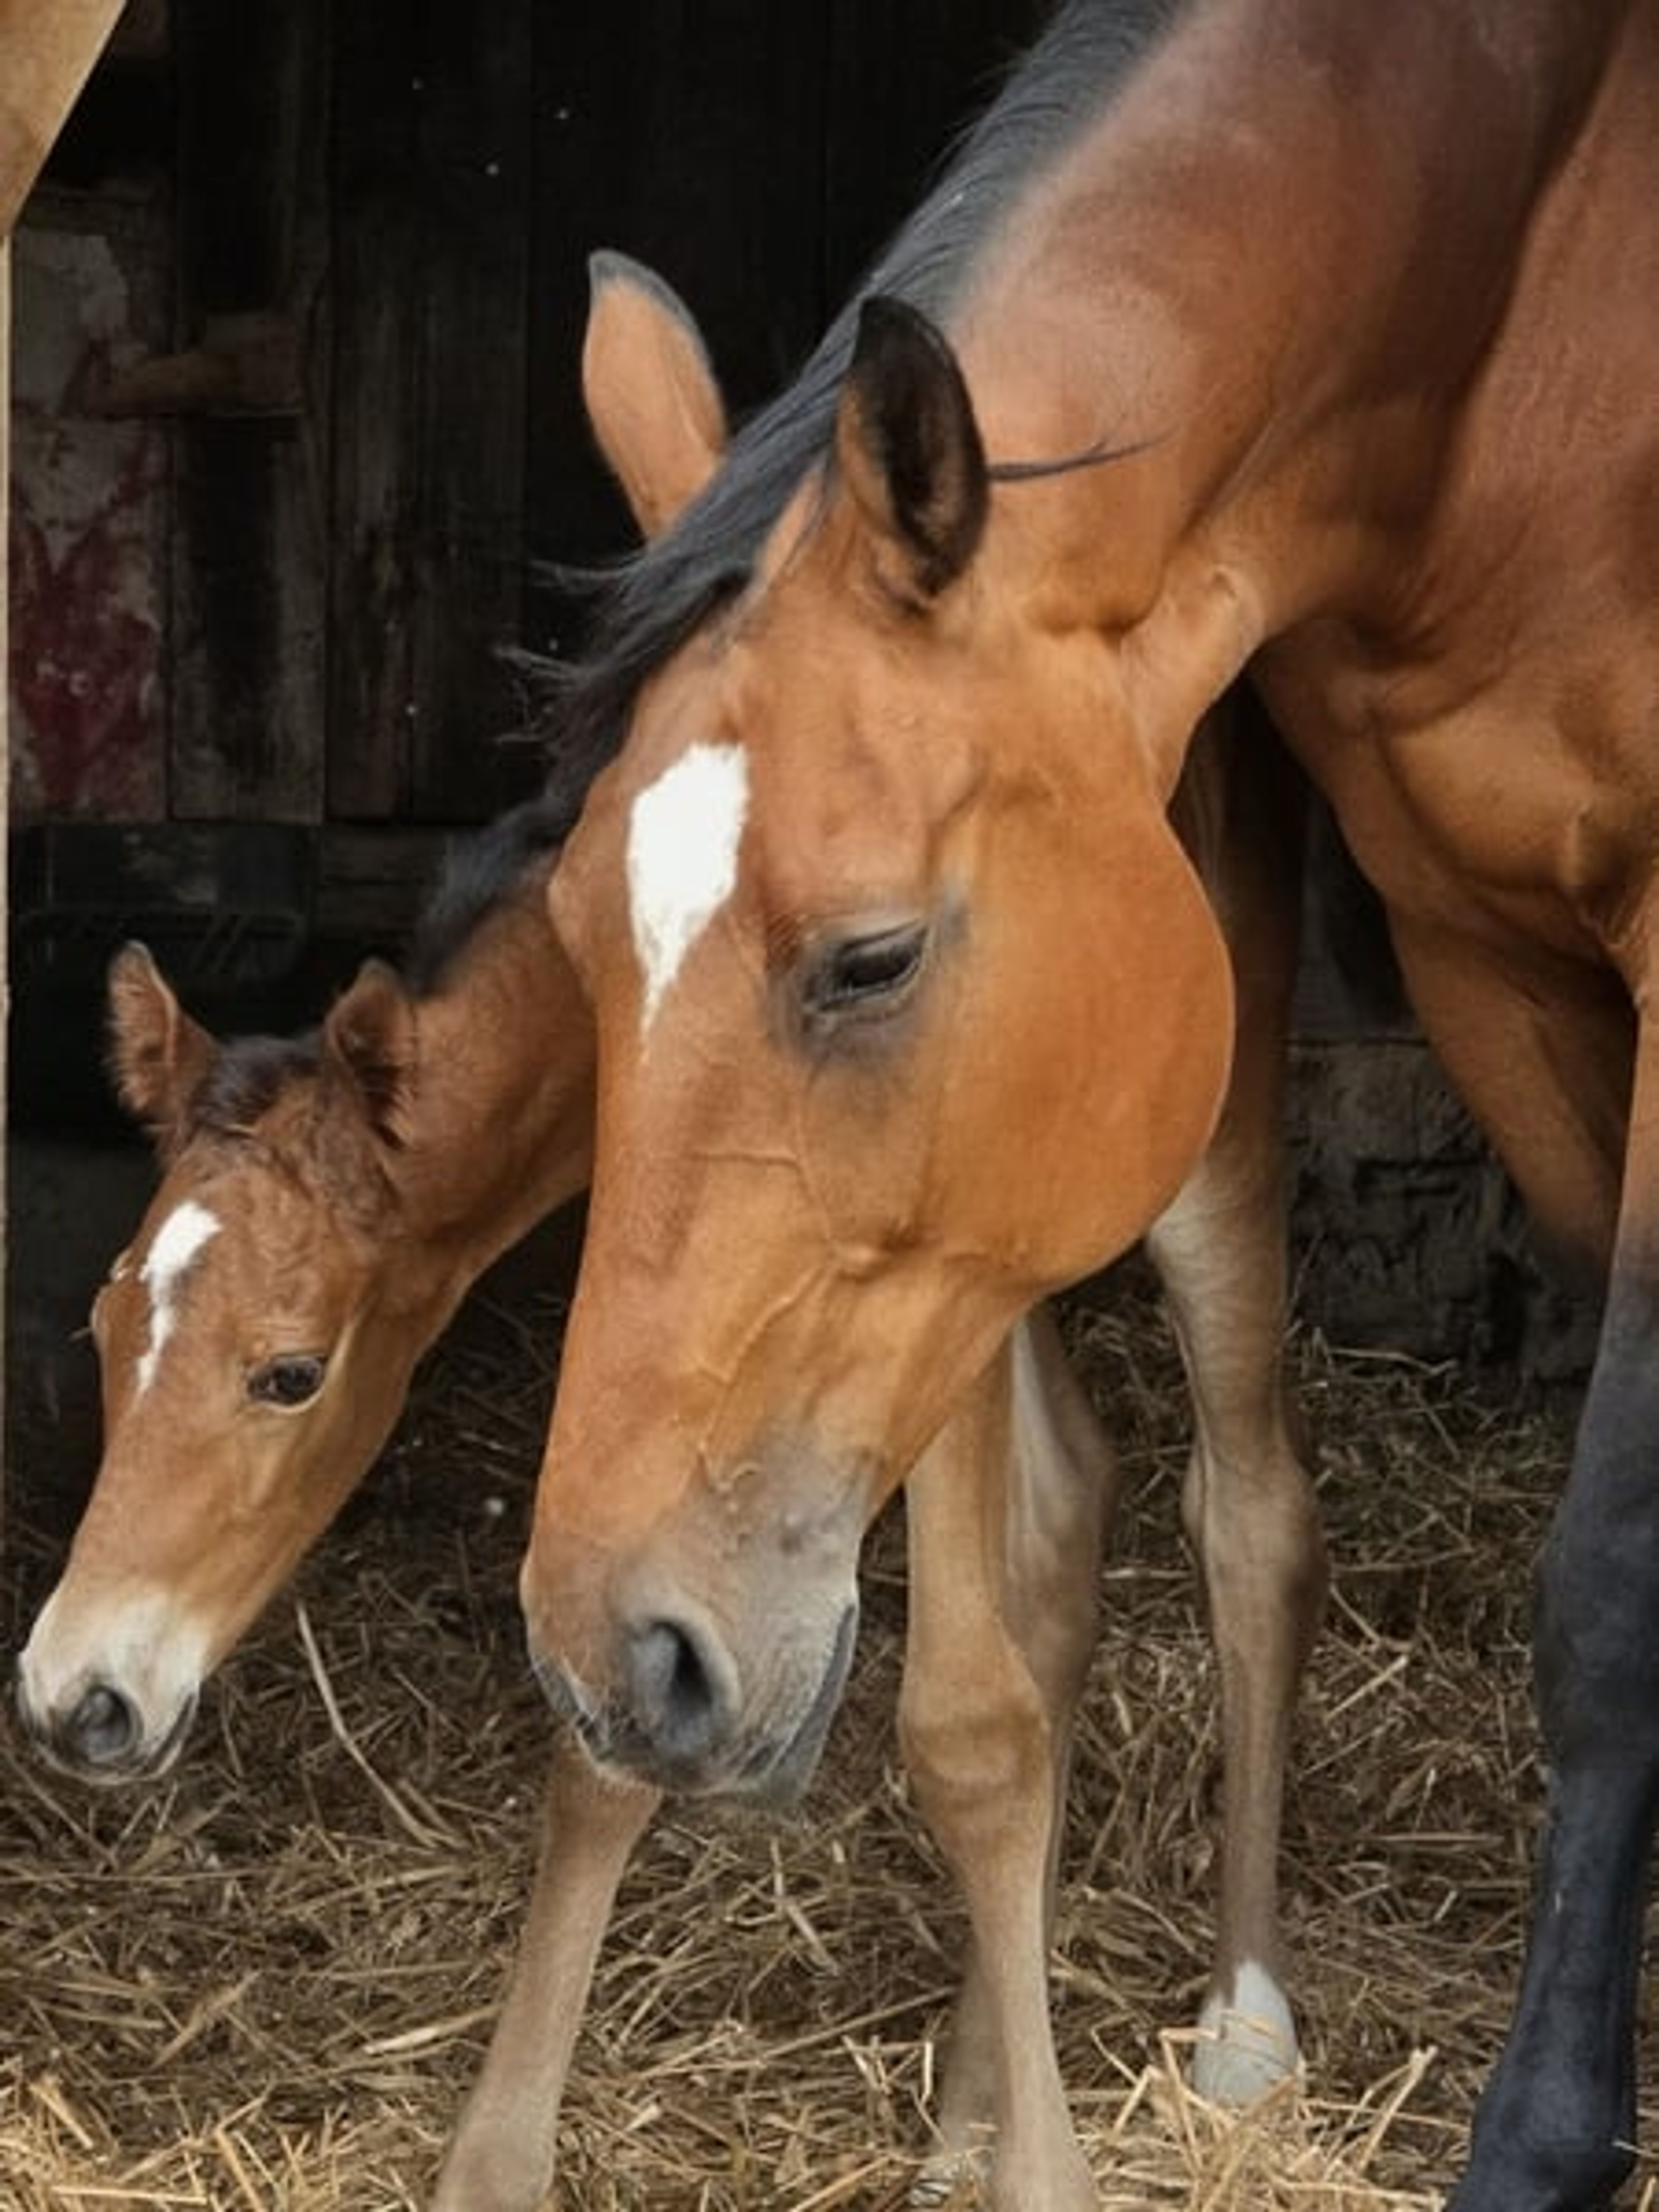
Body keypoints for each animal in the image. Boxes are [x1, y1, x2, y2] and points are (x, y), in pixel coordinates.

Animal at [13, 720, 1317, 2209]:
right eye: (103, 1328)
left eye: (289, 1371)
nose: (74, 1696)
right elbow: (618, 1704)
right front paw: (495, 2160)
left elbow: (970, 1728)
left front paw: (1041, 2169)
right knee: (1069, 1512)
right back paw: (972, 2094)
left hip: (1202, 1143)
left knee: (1250, 1513)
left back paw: (1241, 2030)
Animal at [517, 5, 1659, 2209]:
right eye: (575, 940)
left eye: (871, 955)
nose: (619, 1653)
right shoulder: (1487, 956)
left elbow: (1611, 1575)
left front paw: (1547, 2137)